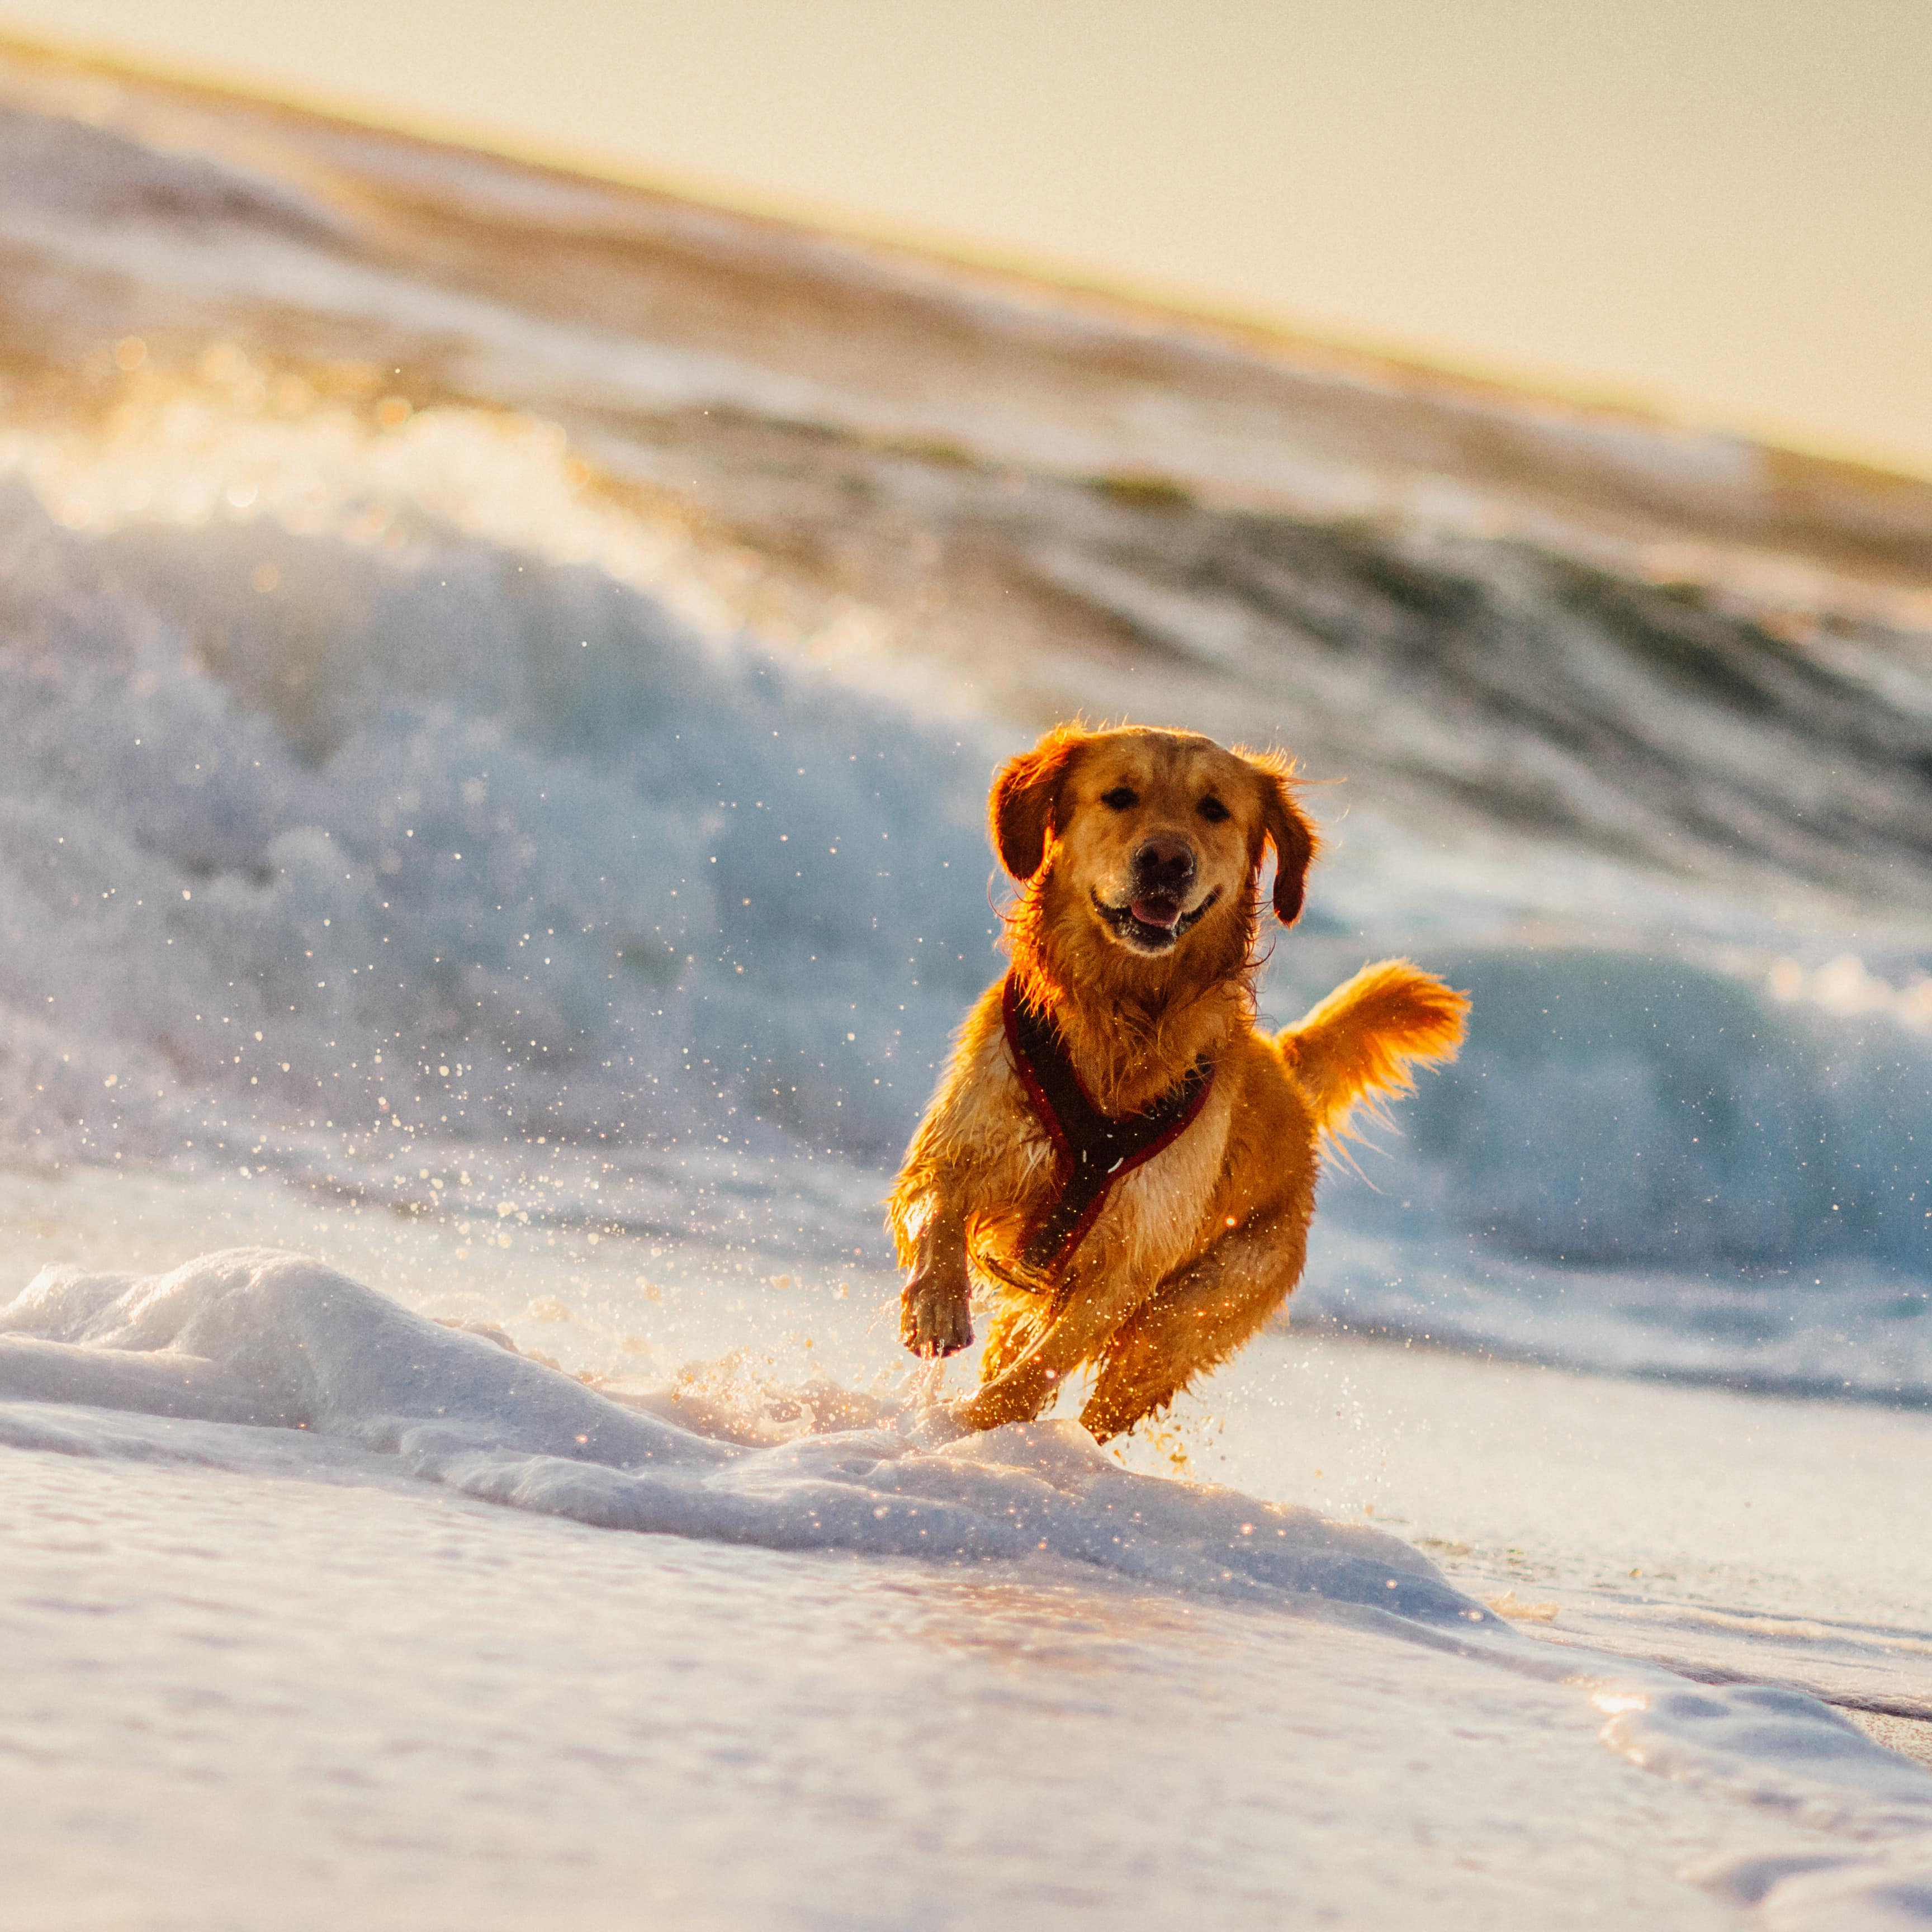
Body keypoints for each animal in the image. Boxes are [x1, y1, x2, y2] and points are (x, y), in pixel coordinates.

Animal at [888, 726, 1460, 1437]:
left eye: (1213, 809)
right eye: (1119, 796)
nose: (1166, 859)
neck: (1126, 1013)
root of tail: (1290, 1082)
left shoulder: (1130, 1261)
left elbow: (1041, 1368)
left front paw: (976, 1426)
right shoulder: (965, 1143)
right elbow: (936, 1211)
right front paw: (937, 1306)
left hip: (1185, 1316)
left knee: (1111, 1398)